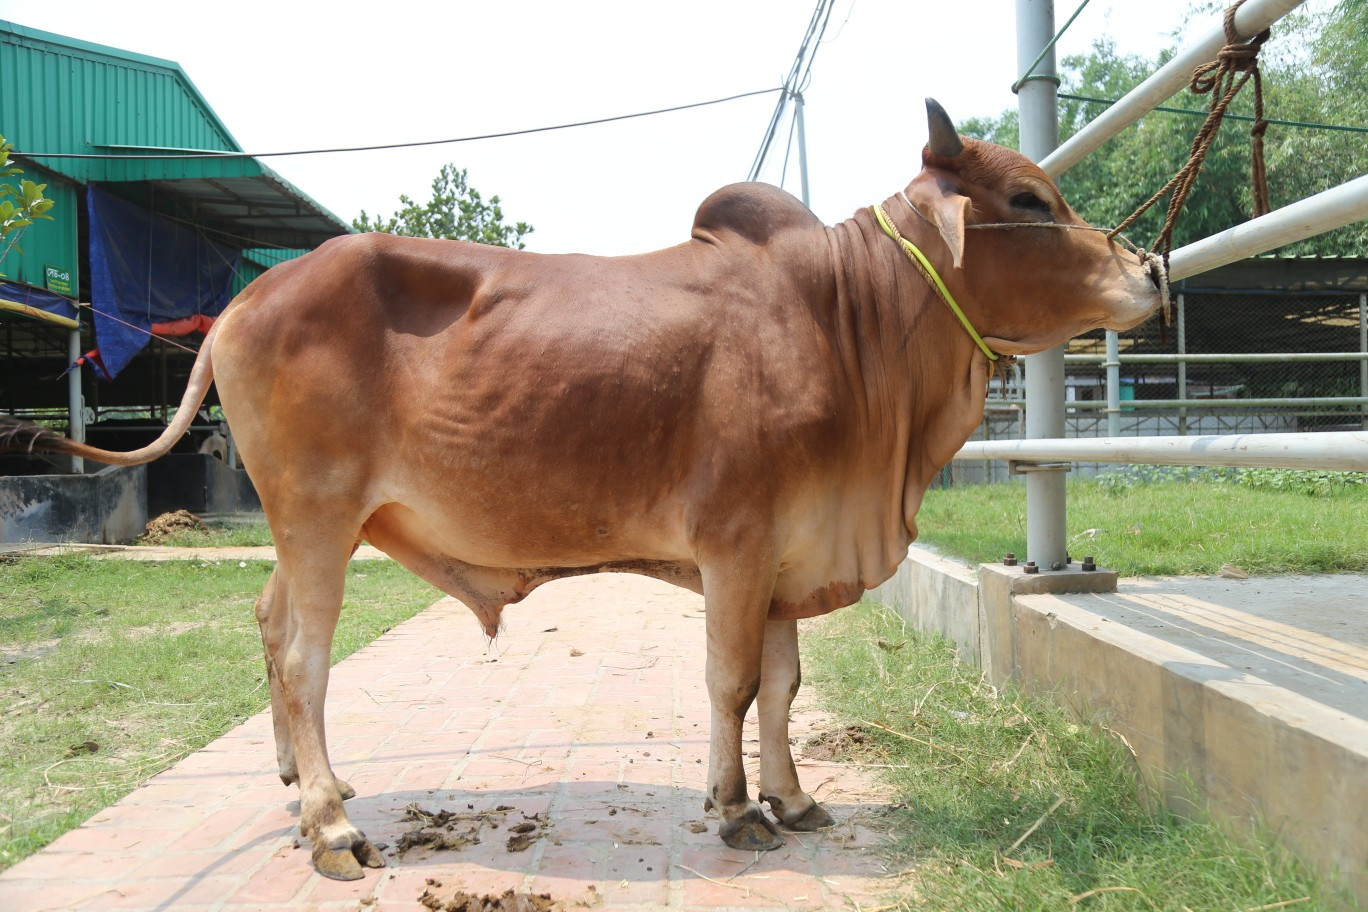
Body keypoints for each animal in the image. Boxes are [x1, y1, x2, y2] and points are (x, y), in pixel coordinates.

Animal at [2, 100, 1161, 880]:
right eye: (1027, 199)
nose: (1149, 268)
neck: (849, 324)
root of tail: (249, 299)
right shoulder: (736, 546)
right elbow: (731, 685)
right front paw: (733, 807)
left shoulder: (787, 555)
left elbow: (782, 687)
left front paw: (792, 798)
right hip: (318, 518)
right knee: (300, 656)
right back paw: (331, 825)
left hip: (314, 528)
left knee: (266, 620)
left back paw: (304, 787)